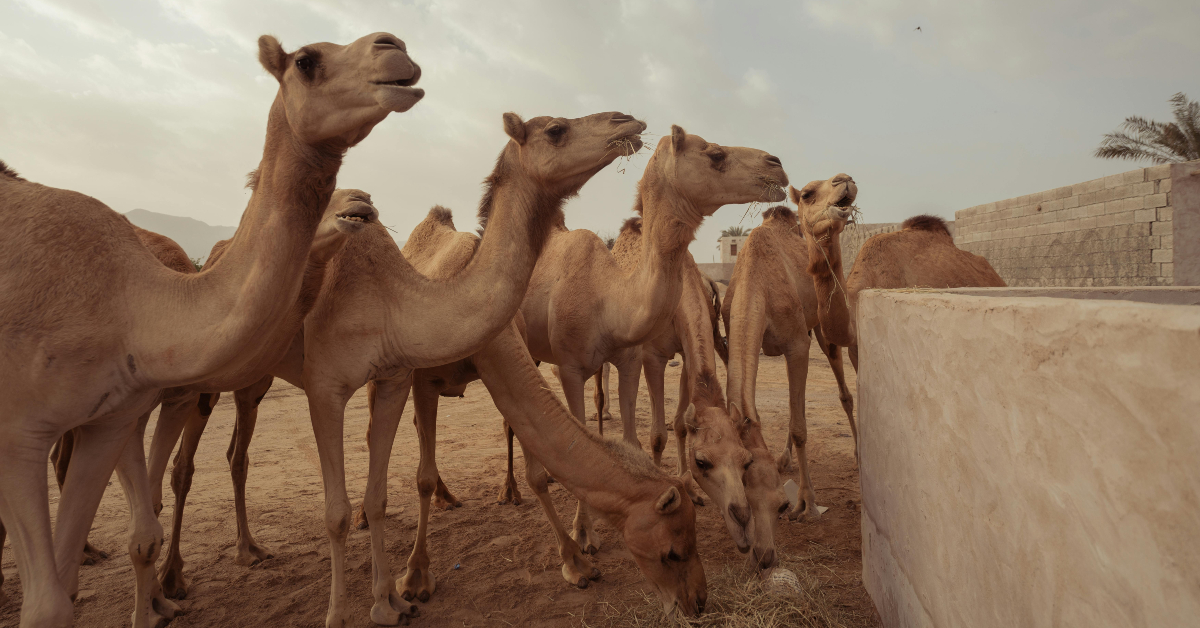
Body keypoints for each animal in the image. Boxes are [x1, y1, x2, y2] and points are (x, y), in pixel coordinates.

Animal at [0, 32, 421, 628]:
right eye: (305, 60)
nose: (394, 46)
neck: (135, 303)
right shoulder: (23, 431)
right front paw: (159, 595)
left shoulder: (133, 407)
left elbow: (150, 512)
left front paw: (160, 595)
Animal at [520, 125, 788, 553]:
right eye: (715, 154)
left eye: (745, 461)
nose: (776, 165)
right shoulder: (632, 359)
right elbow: (651, 436)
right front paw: (588, 533)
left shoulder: (666, 355)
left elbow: (673, 426)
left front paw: (682, 489)